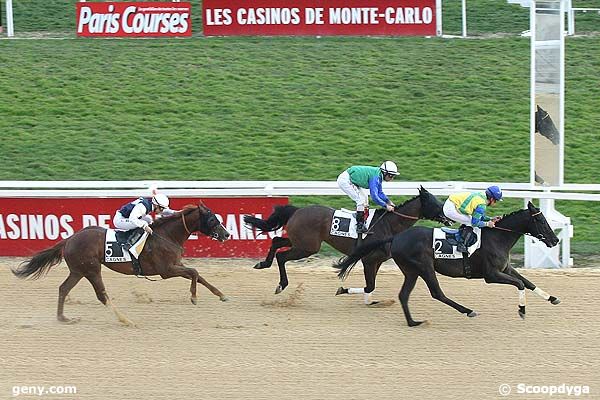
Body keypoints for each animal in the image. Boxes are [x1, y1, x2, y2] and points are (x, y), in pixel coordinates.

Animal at [14, 202, 230, 326]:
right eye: (212, 219)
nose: (227, 234)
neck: (167, 235)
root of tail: (69, 239)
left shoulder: (175, 265)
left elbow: (199, 275)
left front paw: (222, 295)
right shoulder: (166, 270)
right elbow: (194, 272)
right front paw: (193, 297)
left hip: (78, 270)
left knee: (63, 288)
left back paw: (64, 318)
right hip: (91, 269)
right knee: (101, 295)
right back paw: (125, 320)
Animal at [244, 186, 450, 302]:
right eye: (434, 202)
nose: (448, 215)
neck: (388, 225)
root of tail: (298, 210)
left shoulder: (377, 260)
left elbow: (371, 285)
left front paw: (370, 301)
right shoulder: (368, 259)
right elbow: (370, 285)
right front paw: (343, 290)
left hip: (300, 241)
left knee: (276, 241)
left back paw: (263, 263)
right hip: (307, 247)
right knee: (282, 256)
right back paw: (281, 284)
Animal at [336, 202, 560, 326]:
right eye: (541, 221)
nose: (555, 240)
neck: (497, 237)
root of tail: (396, 237)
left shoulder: (506, 268)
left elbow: (528, 283)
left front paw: (553, 298)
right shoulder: (491, 275)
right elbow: (520, 284)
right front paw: (522, 310)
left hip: (412, 271)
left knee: (404, 295)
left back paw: (413, 323)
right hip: (425, 267)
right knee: (437, 293)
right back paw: (468, 311)